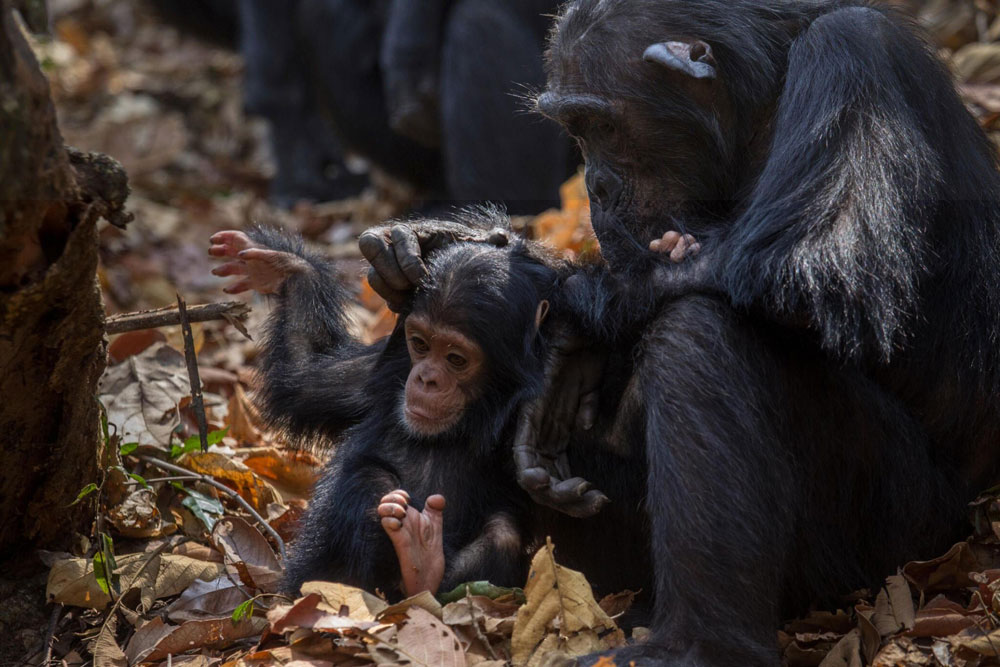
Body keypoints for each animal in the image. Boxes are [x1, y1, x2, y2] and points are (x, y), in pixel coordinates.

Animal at [362, 0, 1000, 664]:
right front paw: (441, 245)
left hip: (889, 533)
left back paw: (695, 644)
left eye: (600, 125)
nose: (595, 185)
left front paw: (557, 306)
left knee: (702, 333)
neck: (766, 100)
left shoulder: (853, 64)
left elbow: (806, 267)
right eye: (575, 130)